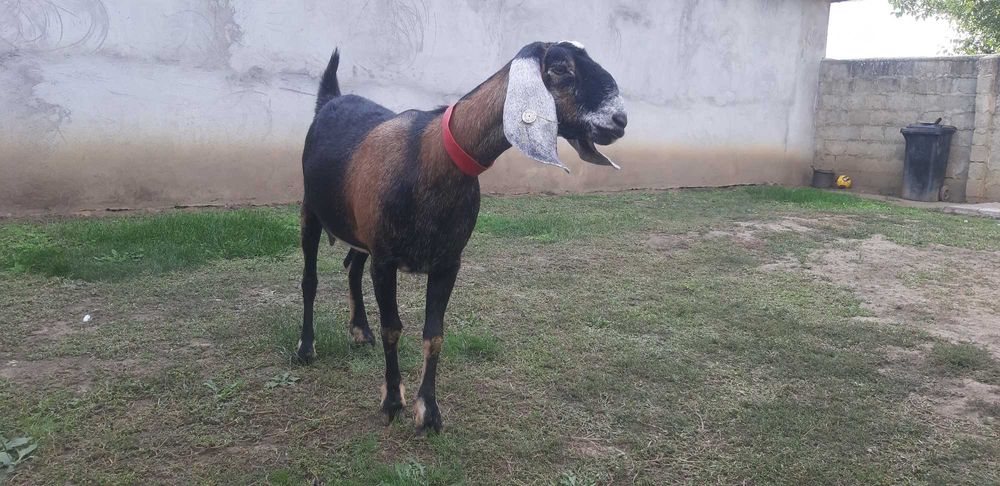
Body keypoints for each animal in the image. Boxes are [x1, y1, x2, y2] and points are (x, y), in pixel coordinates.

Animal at [298, 41, 627, 434]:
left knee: (351, 265)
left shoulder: (447, 262)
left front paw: (429, 413)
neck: (429, 157)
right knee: (310, 280)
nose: (620, 120)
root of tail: (330, 100)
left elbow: (435, 334)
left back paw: (360, 331)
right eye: (561, 68)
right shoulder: (386, 259)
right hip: (311, 210)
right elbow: (393, 328)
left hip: (360, 228)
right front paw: (392, 402)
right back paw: (305, 348)